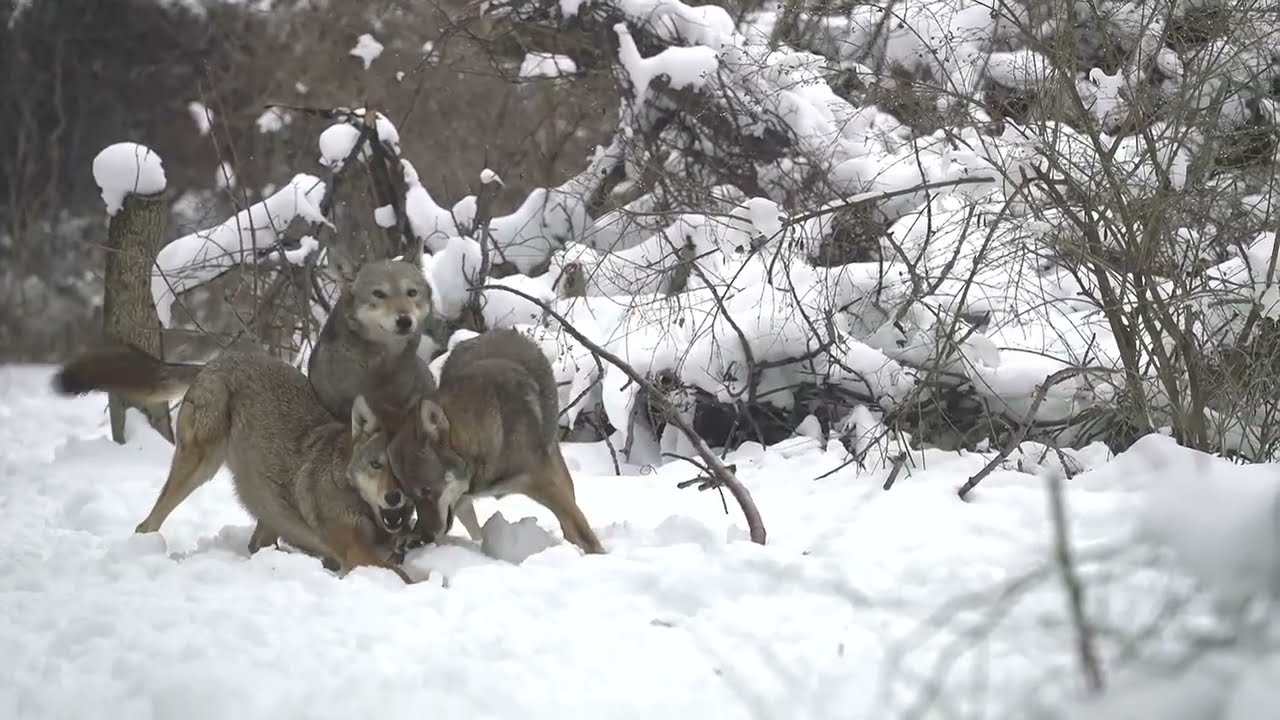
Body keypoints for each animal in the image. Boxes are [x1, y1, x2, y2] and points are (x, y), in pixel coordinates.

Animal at [52, 346, 416, 583]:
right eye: (376, 465)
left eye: (402, 468)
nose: (393, 497)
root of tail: (216, 360)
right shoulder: (356, 552)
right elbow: (405, 577)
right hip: (199, 469)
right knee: (147, 523)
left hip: (262, 496)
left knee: (258, 543)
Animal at [386, 328, 606, 555]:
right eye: (411, 497)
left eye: (426, 491)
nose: (424, 537)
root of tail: (496, 331)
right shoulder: (461, 497)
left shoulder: (549, 486)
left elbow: (585, 535)